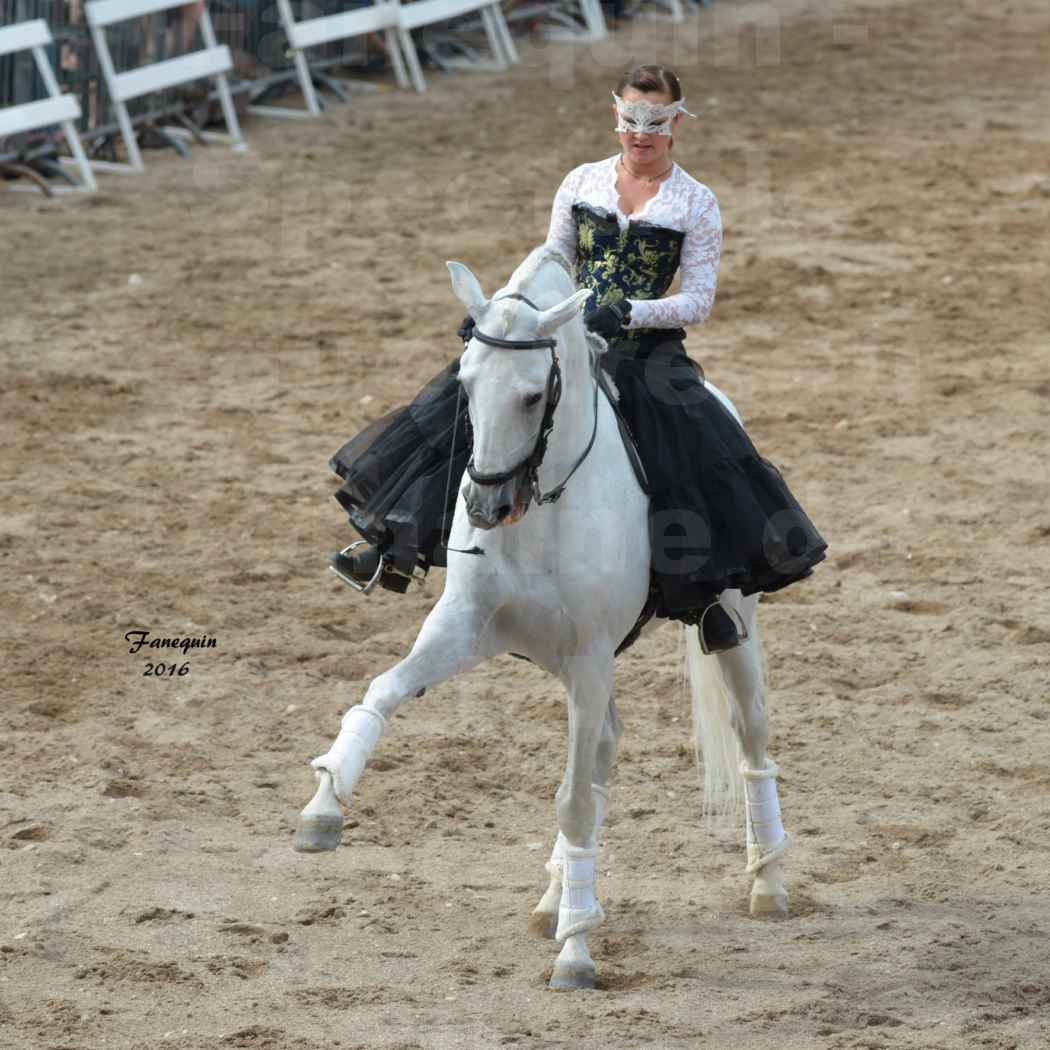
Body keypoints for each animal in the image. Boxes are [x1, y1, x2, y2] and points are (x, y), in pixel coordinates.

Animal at [296, 247, 789, 991]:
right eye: (464, 382)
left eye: (533, 396)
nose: (483, 507)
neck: (544, 507)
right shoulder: (466, 626)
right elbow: (383, 690)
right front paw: (322, 809)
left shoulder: (588, 658)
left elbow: (575, 799)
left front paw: (576, 954)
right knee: (607, 747)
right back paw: (557, 894)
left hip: (729, 628)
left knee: (748, 733)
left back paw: (767, 884)